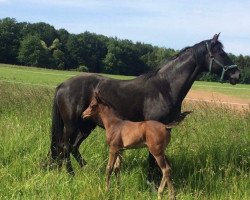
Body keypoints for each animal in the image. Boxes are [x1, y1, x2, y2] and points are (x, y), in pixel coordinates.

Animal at [47, 33, 240, 181]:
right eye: (221, 53)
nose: (236, 74)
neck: (164, 87)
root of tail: (62, 85)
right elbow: (151, 158)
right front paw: (151, 182)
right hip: (72, 125)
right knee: (65, 147)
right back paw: (71, 175)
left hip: (86, 125)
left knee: (73, 148)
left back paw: (88, 170)